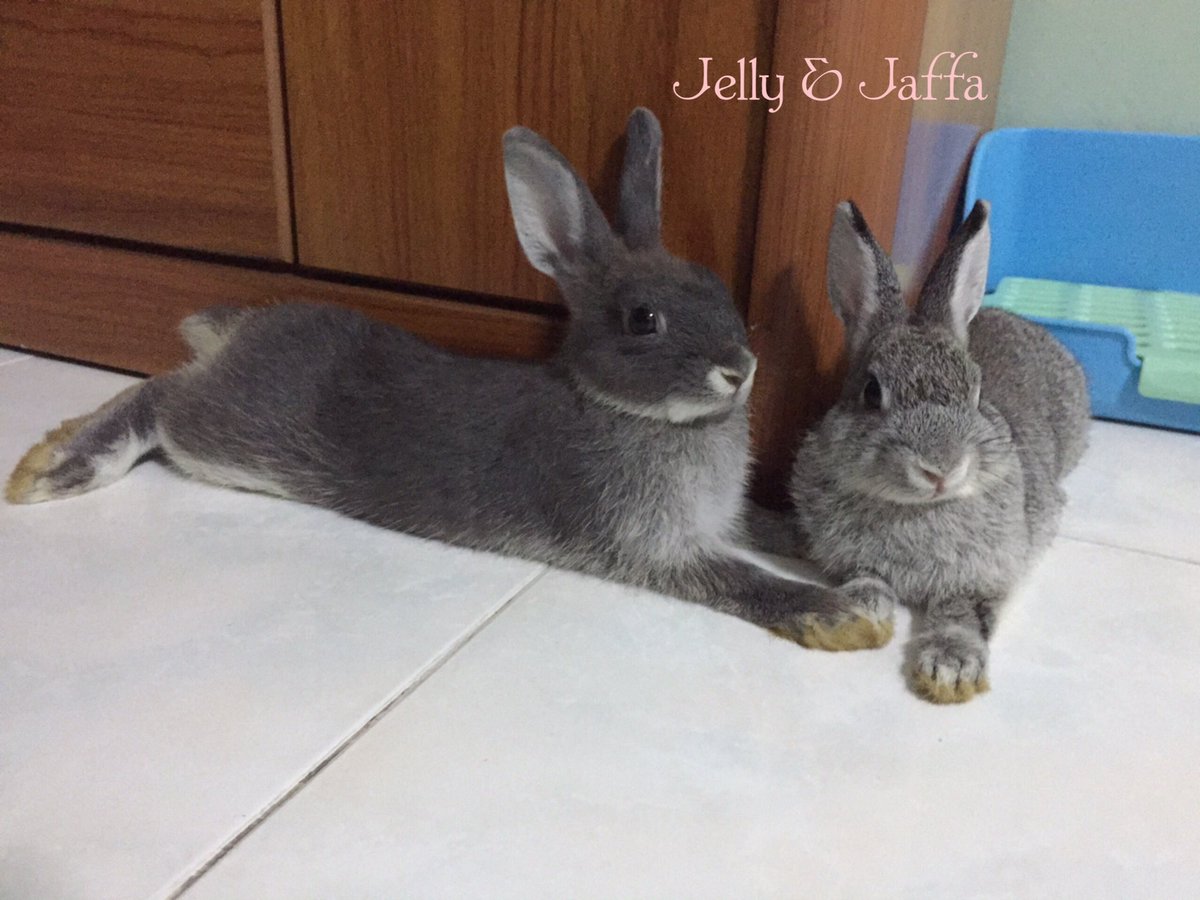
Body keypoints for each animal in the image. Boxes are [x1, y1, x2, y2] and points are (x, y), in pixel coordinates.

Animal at [6, 108, 895, 650]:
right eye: (644, 319)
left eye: (717, 287)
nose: (741, 370)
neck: (634, 413)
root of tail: (245, 330)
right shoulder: (654, 545)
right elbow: (742, 579)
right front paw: (847, 614)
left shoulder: (722, 514)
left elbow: (771, 528)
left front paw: (840, 557)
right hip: (229, 435)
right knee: (158, 395)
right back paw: (56, 466)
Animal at [789, 199, 1090, 702]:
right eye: (872, 392)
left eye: (977, 390)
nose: (940, 468)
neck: (917, 509)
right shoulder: (851, 558)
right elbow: (866, 580)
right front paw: (857, 614)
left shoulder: (985, 576)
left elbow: (962, 615)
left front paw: (951, 671)